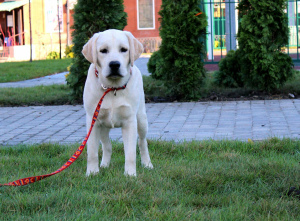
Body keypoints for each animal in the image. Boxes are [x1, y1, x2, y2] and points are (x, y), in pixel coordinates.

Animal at [81, 30, 152, 177]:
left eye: (124, 49)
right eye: (103, 50)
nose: (114, 64)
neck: (112, 88)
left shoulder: (130, 122)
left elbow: (130, 153)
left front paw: (130, 174)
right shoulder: (93, 120)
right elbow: (92, 152)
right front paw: (92, 173)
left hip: (141, 119)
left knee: (142, 142)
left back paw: (147, 164)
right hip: (103, 127)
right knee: (107, 145)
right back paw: (104, 165)